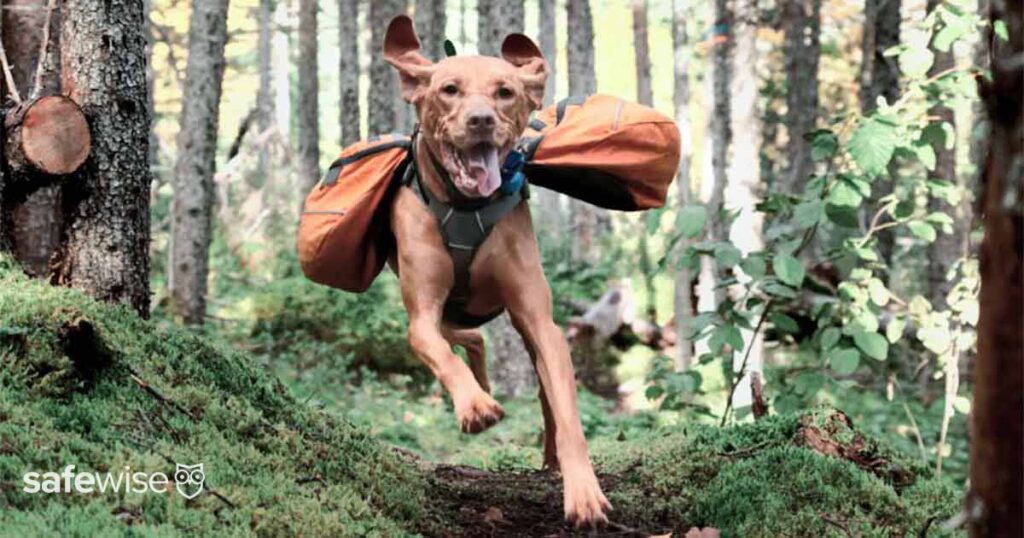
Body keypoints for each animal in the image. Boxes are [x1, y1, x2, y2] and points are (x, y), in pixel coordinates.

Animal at [382, 15, 606, 524]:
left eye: (505, 92)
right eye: (449, 90)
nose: (481, 119)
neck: (466, 205)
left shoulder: (539, 320)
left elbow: (567, 411)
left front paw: (583, 490)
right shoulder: (421, 314)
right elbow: (437, 352)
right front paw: (474, 406)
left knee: (532, 382)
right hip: (443, 311)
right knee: (465, 339)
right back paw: (480, 389)